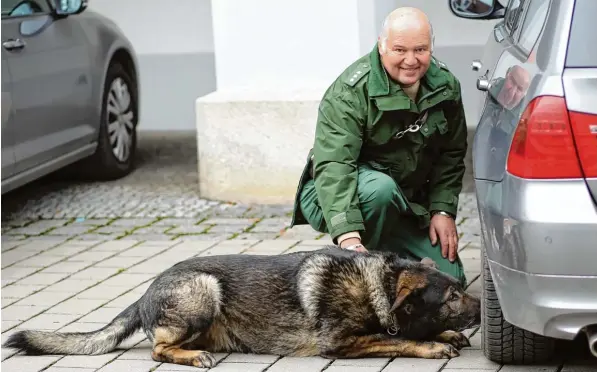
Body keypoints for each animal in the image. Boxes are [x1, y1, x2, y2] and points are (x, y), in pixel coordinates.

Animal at [3, 246, 480, 368]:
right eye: (453, 297)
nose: (483, 309)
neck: (376, 286)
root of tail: (144, 293)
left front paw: (446, 333)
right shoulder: (341, 344)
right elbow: (393, 339)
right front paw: (434, 344)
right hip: (204, 290)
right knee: (158, 349)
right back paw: (193, 356)